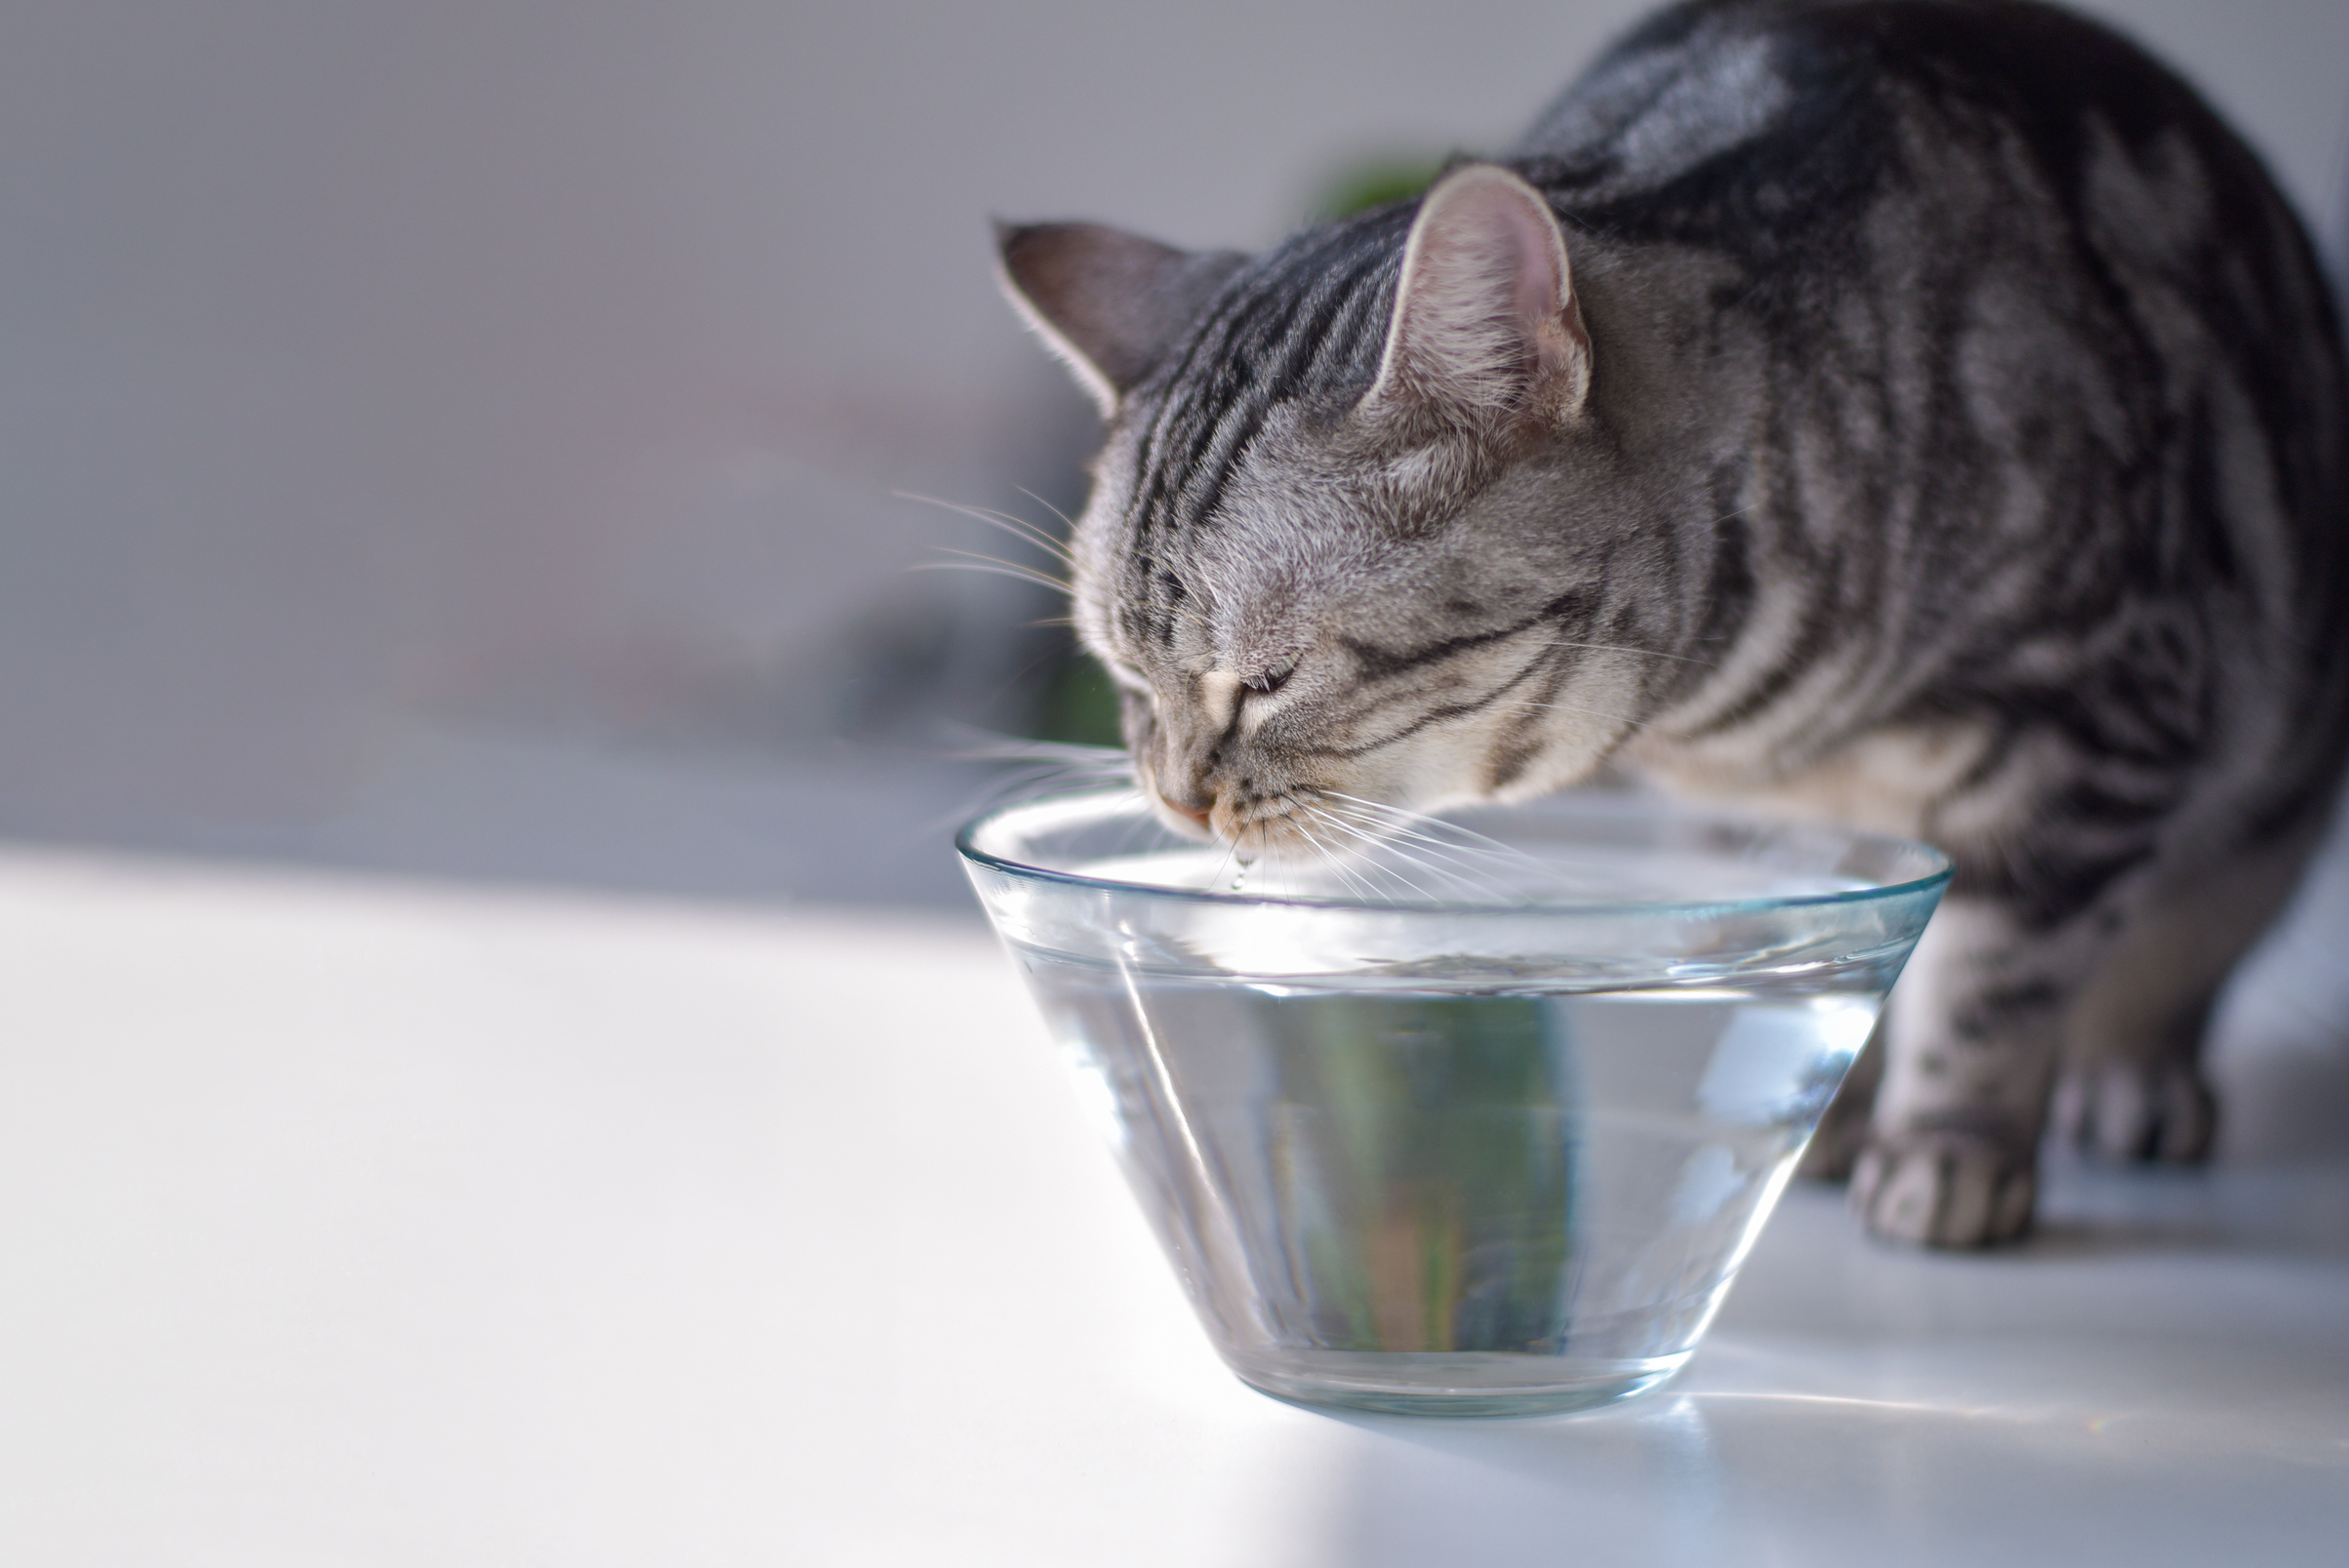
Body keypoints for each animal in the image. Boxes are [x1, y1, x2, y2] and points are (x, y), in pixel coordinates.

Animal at [991, 0, 2349, 1248]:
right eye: (1124, 676)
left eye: (1268, 677)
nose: (1174, 799)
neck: (1744, 716)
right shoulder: (1755, 824)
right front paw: (1828, 1117)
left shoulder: (2098, 710)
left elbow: (1991, 984)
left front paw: (1948, 1149)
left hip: (2264, 802)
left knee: (2170, 958)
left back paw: (2132, 1079)